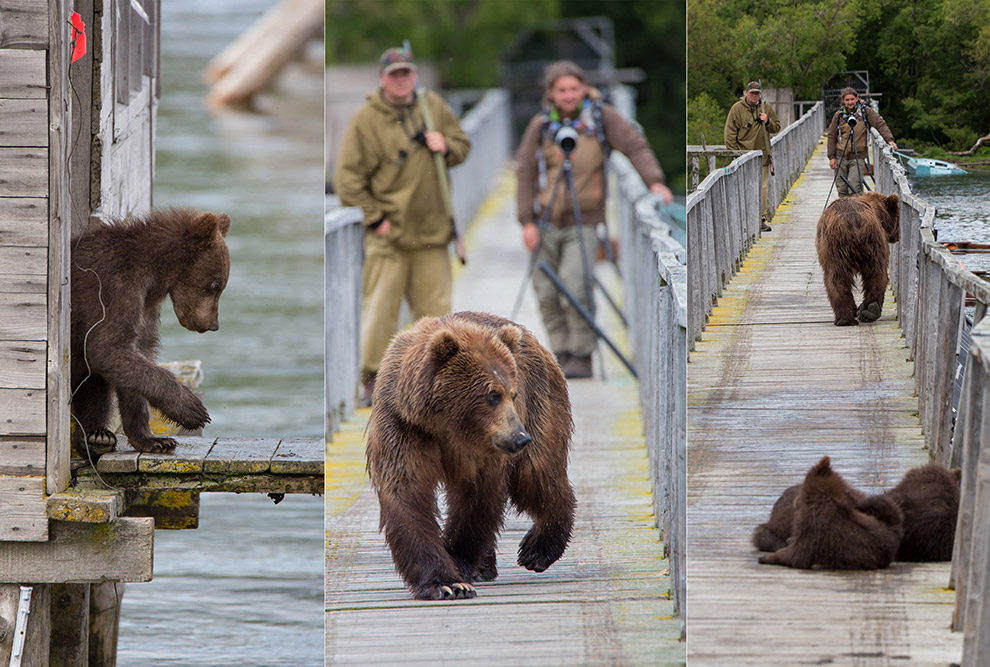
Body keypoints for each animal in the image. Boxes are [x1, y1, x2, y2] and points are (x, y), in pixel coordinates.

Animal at [71, 211, 231, 456]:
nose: (213, 325)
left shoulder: (146, 305)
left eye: (221, 286)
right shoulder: (112, 288)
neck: (154, 274)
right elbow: (108, 348)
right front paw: (192, 408)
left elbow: (136, 360)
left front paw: (152, 440)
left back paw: (97, 436)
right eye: (214, 285)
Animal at [368, 312, 576, 600]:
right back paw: (487, 566)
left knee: (536, 476)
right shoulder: (404, 426)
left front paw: (459, 562)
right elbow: (407, 493)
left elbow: (477, 497)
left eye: (512, 393)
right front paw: (445, 583)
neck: (447, 425)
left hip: (541, 405)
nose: (520, 438)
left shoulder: (483, 449)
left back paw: (537, 550)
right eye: (492, 395)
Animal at [760, 456, 908, 572]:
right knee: (885, 506)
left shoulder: (812, 530)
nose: (794, 501)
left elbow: (797, 556)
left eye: (801, 485)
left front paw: (768, 557)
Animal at [816, 190, 904, 326]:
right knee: (876, 274)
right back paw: (868, 311)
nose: (899, 234)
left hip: (837, 248)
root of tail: (853, 222)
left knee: (837, 278)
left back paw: (847, 317)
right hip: (870, 242)